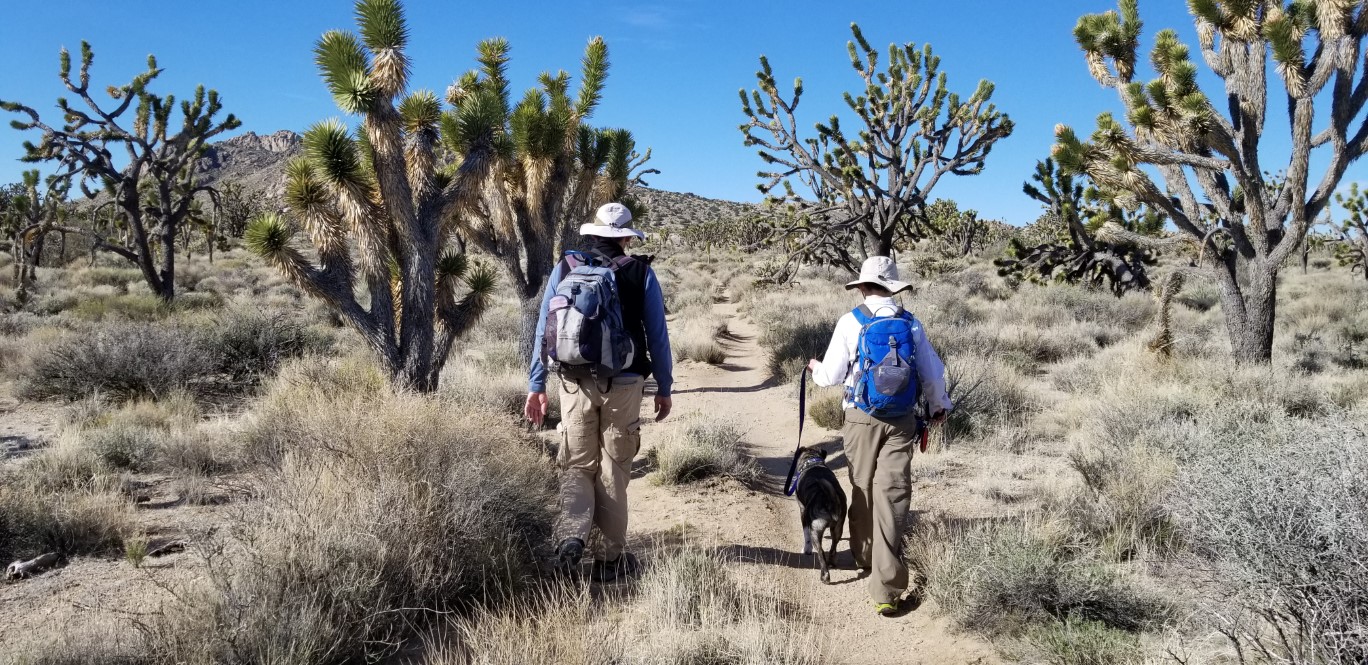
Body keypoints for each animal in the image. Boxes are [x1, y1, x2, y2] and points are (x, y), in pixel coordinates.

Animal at [793, 446, 842, 582]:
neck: (812, 461)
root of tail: (828, 499)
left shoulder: (803, 511)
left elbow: (806, 535)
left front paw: (806, 550)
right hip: (838, 528)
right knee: (833, 547)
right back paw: (832, 563)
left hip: (816, 530)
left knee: (821, 552)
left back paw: (825, 576)